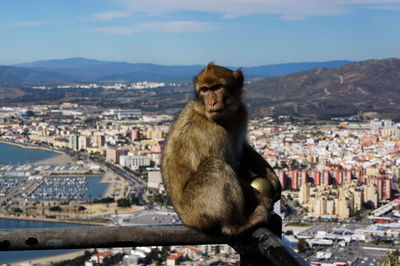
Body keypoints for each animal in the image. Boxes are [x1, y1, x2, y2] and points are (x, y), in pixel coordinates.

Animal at [160, 62, 282, 235]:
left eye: (217, 88)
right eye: (205, 90)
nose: (211, 102)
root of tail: (184, 218)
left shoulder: (240, 113)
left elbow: (242, 149)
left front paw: (272, 176)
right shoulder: (210, 133)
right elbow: (226, 164)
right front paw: (264, 199)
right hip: (196, 209)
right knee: (215, 166)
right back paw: (236, 225)